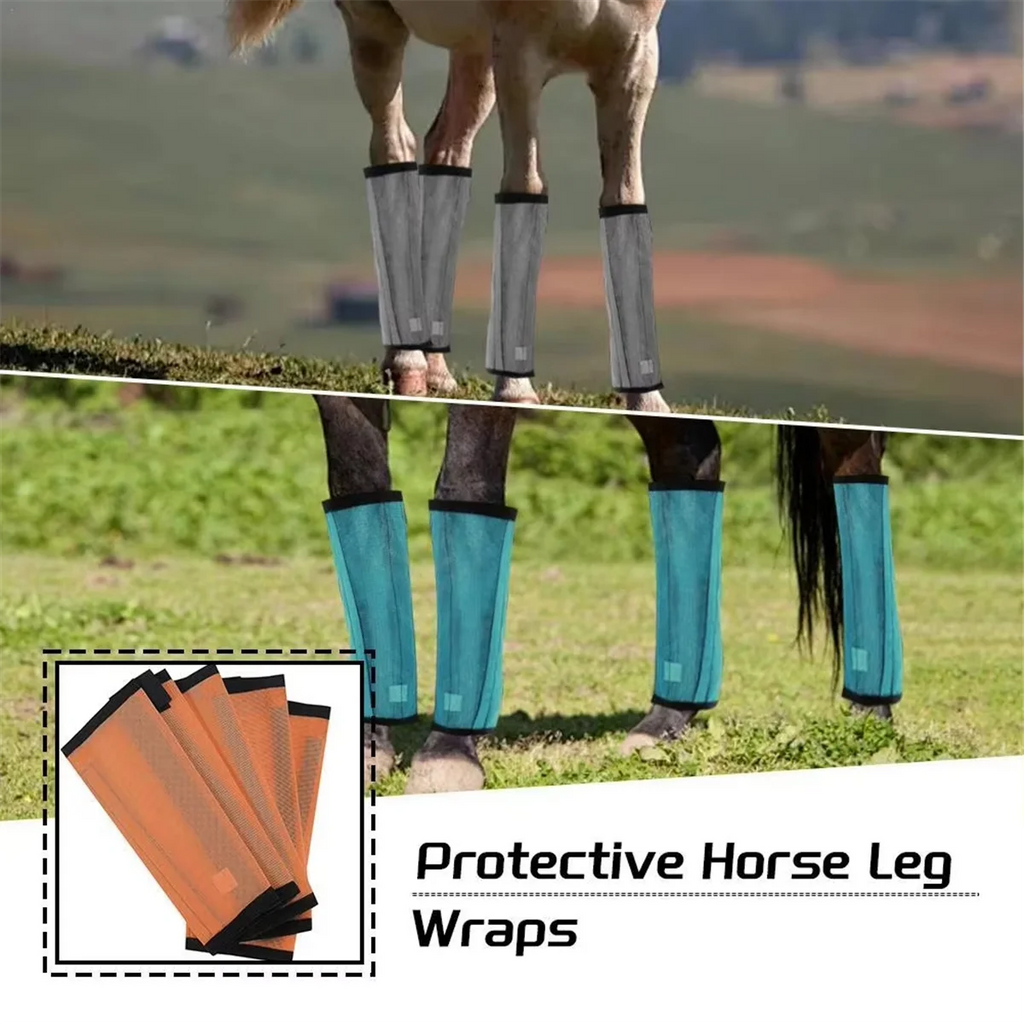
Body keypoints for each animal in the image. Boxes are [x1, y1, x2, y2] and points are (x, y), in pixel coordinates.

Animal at [227, 0, 672, 411]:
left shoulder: (635, 63)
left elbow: (625, 198)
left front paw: (648, 401)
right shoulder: (520, 56)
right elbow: (525, 184)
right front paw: (515, 392)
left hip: (474, 52)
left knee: (446, 150)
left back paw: (436, 372)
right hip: (378, 26)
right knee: (394, 145)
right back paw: (407, 365)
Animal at [313, 395, 903, 794]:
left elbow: (468, 481)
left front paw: (449, 755)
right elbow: (357, 481)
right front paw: (371, 746)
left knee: (857, 469)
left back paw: (869, 713)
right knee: (688, 456)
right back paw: (664, 723)